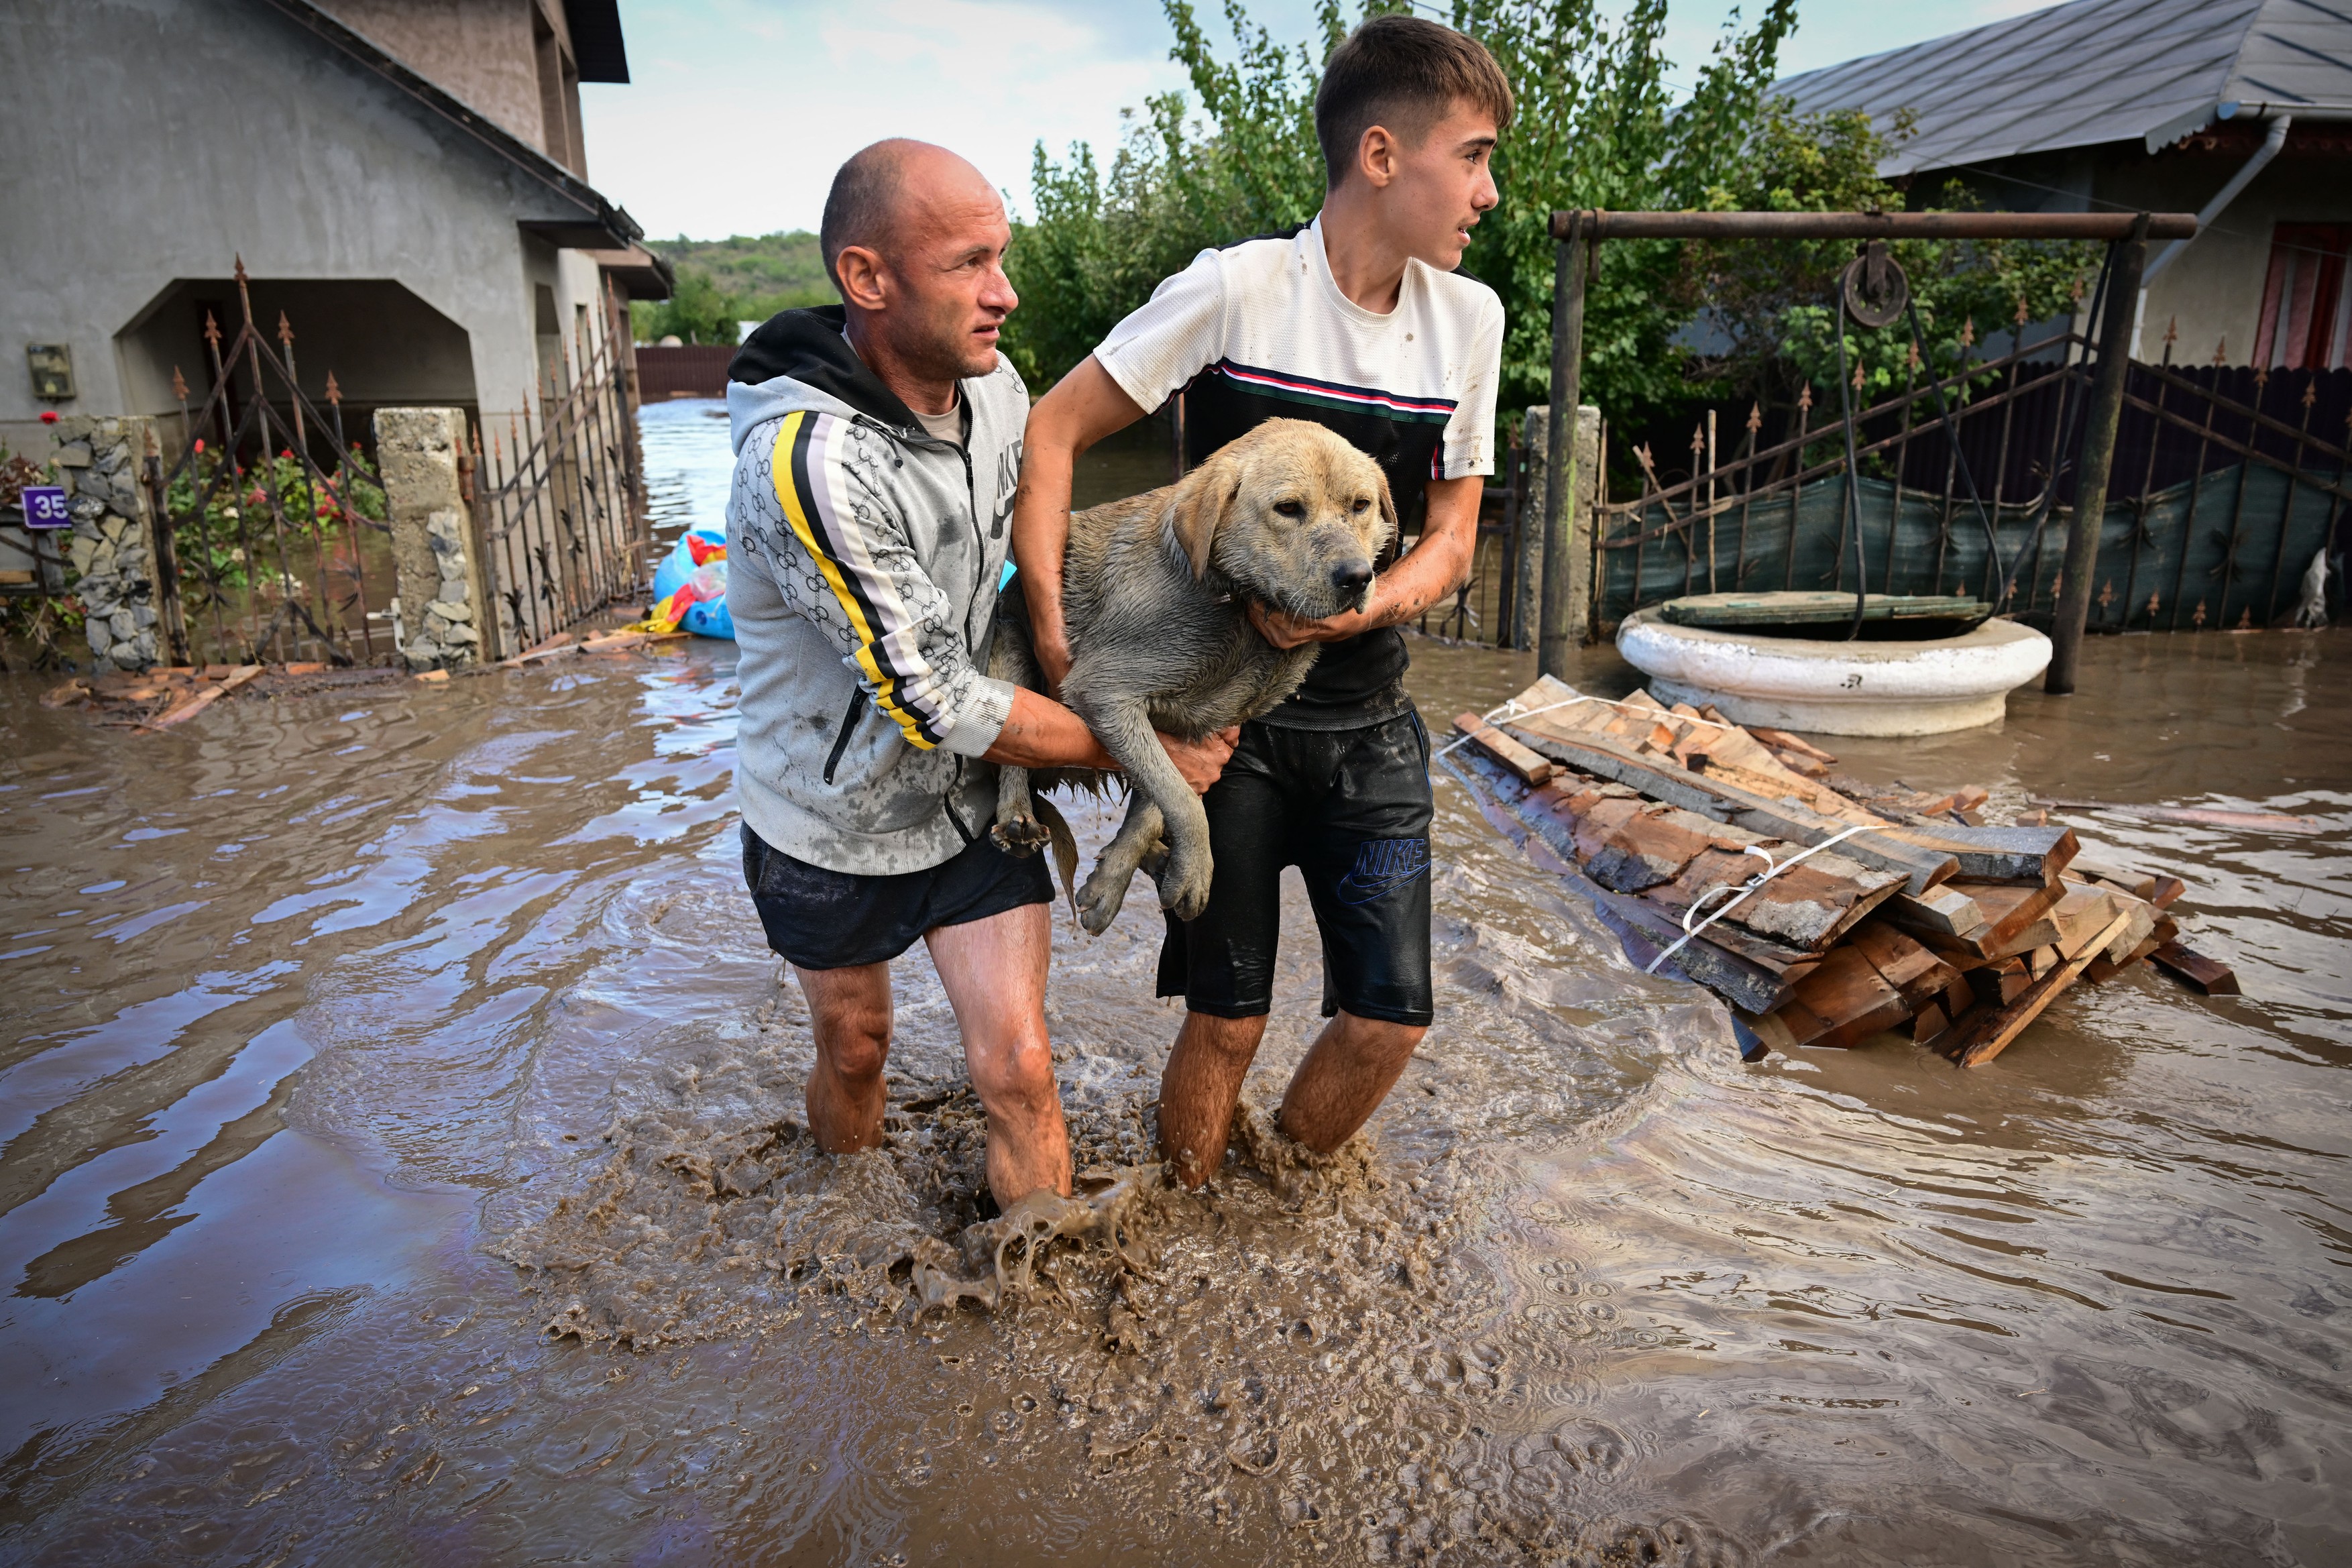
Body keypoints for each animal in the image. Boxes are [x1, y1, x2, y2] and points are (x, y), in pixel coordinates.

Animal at [992, 416, 1392, 931]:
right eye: (1288, 508)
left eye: (1360, 505)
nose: (1357, 577)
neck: (1236, 608)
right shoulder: (1104, 691)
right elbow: (1182, 799)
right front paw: (1196, 870)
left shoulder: (1198, 730)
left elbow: (1157, 803)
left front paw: (1114, 882)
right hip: (1012, 650)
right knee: (1010, 757)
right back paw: (1018, 815)